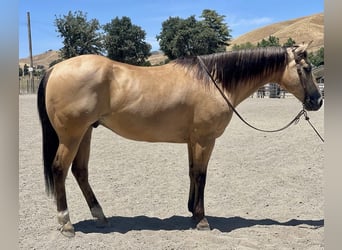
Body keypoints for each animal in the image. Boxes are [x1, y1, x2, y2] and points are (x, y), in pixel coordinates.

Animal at [38, 43, 324, 236]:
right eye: (306, 68)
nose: (317, 100)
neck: (214, 81)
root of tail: (55, 69)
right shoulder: (205, 140)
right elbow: (201, 175)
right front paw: (201, 219)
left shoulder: (192, 140)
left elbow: (191, 172)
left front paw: (191, 211)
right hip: (72, 135)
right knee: (60, 169)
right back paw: (66, 223)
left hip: (86, 132)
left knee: (80, 172)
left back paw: (100, 216)